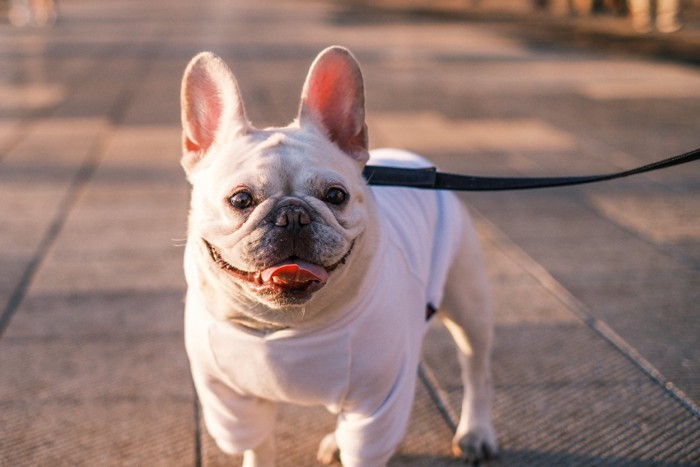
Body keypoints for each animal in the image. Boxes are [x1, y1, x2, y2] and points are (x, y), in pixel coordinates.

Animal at [180, 45, 498, 466]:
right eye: (241, 200)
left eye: (336, 195)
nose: (293, 215)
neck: (286, 327)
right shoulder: (230, 402)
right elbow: (258, 445)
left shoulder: (378, 403)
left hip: (467, 305)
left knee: (476, 369)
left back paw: (476, 432)